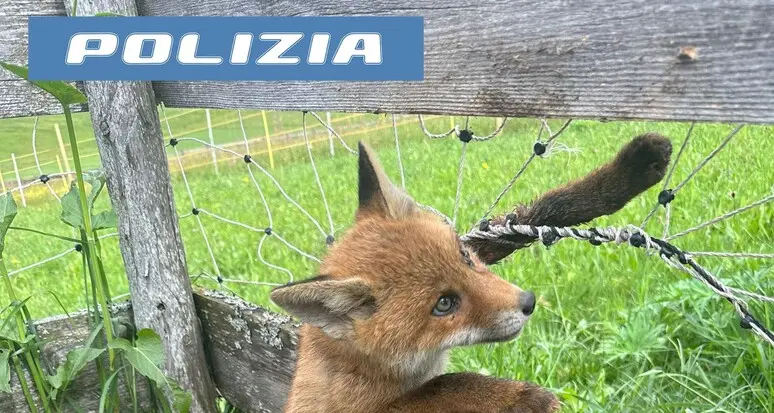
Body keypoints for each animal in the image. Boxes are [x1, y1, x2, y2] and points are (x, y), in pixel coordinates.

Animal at [270, 134, 672, 413]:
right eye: (444, 304)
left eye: (465, 258)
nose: (528, 302)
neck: (367, 367)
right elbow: (444, 385)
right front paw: (519, 396)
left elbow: (538, 213)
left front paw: (632, 169)